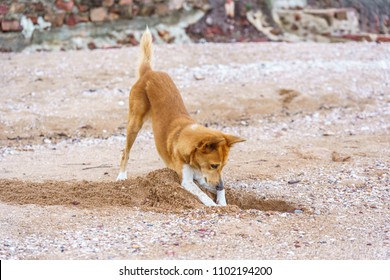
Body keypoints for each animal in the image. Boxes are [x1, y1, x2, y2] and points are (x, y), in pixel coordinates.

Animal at [116, 28, 244, 207]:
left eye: (223, 166)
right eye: (214, 165)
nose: (220, 186)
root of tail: (149, 72)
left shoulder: (203, 178)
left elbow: (218, 191)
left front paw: (223, 202)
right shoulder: (187, 181)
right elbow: (202, 195)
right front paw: (214, 206)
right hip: (134, 123)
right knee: (125, 152)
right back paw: (121, 176)